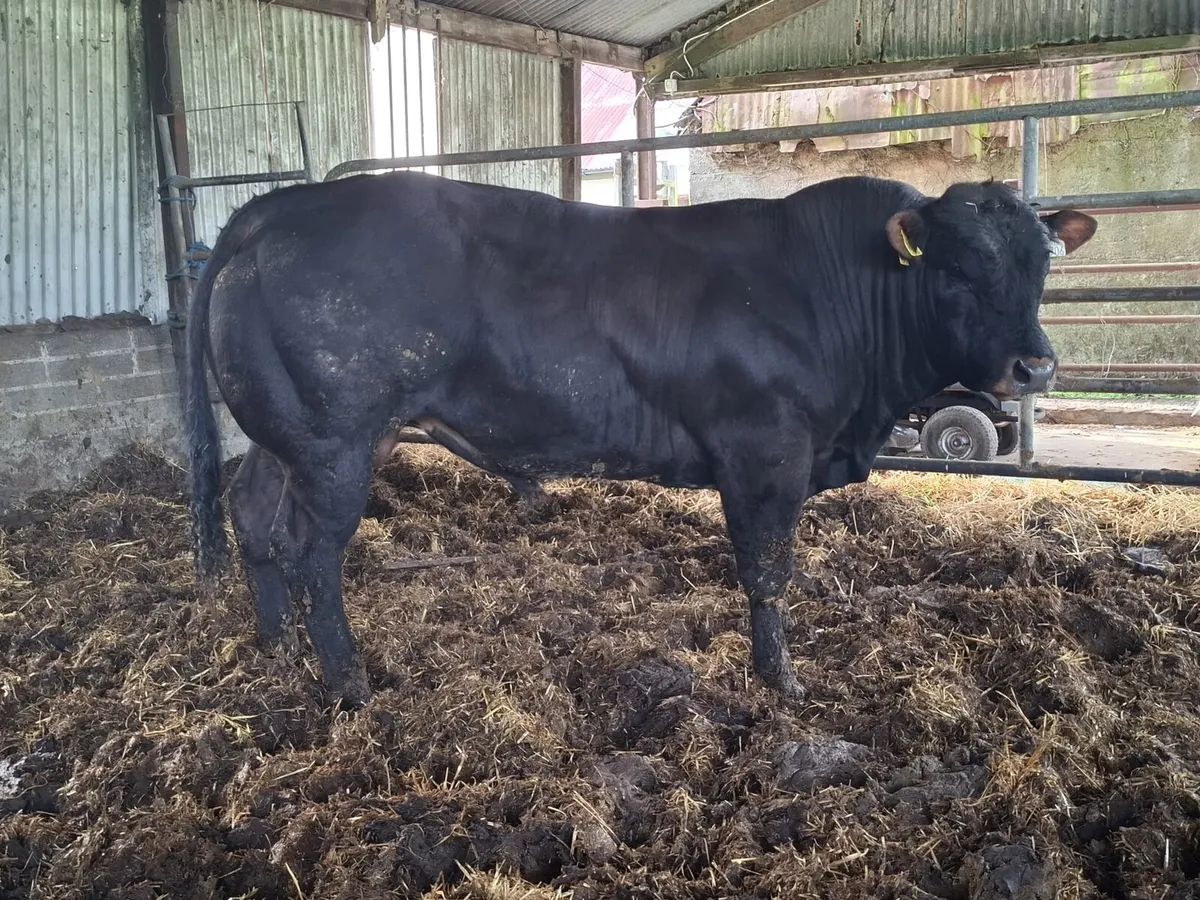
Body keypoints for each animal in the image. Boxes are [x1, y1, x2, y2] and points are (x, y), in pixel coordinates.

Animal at [183, 171, 1096, 707]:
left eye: (1041, 263)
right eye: (957, 269)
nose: (1035, 366)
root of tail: (279, 205)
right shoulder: (765, 450)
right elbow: (767, 572)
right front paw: (782, 681)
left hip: (291, 437)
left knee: (255, 512)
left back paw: (272, 642)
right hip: (335, 440)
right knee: (314, 553)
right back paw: (348, 682)